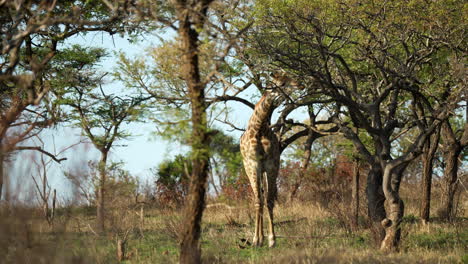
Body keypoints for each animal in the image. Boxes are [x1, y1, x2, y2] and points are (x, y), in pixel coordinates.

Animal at [239, 72, 302, 248]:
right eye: (282, 83)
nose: (300, 85)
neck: (259, 128)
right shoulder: (253, 165)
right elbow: (258, 201)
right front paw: (256, 239)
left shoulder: (271, 165)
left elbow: (269, 200)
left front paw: (272, 239)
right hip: (251, 169)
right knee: (257, 199)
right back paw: (257, 239)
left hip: (263, 170)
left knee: (263, 197)